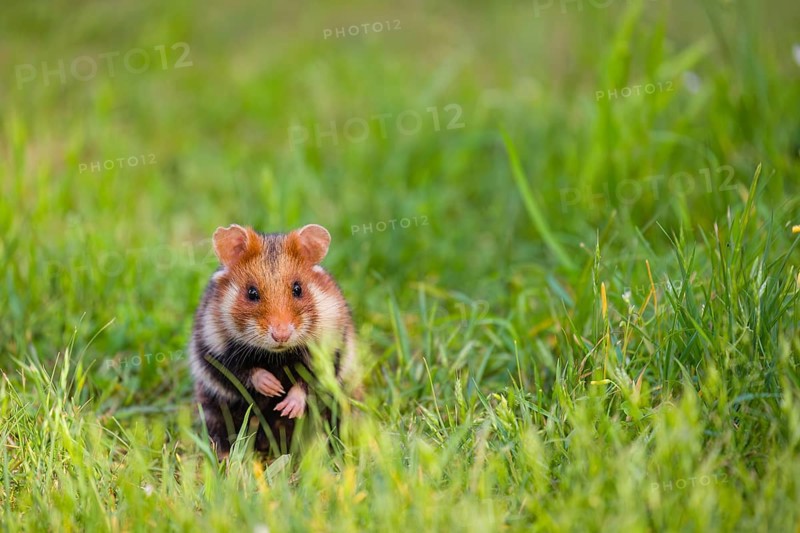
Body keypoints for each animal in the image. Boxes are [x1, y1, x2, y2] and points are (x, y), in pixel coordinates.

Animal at [188, 223, 359, 458]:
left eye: (298, 289)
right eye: (251, 293)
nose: (281, 335)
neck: (277, 356)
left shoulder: (331, 350)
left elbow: (308, 382)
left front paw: (286, 407)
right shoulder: (213, 350)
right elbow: (241, 371)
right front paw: (273, 387)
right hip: (214, 408)